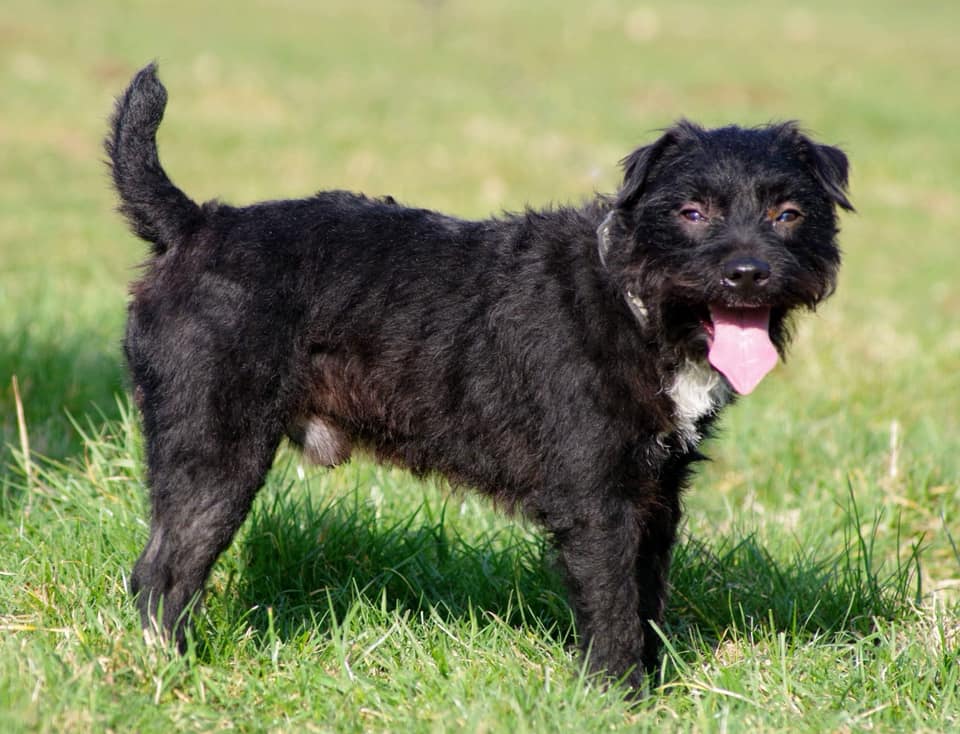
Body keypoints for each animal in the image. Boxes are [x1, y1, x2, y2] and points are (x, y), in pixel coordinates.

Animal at [107, 63, 856, 688]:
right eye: (692, 212)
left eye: (788, 214)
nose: (748, 272)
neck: (632, 298)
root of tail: (194, 224)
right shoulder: (598, 502)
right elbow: (614, 607)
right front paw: (617, 697)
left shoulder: (656, 494)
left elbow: (647, 600)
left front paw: (656, 686)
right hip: (215, 454)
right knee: (162, 574)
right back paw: (167, 672)